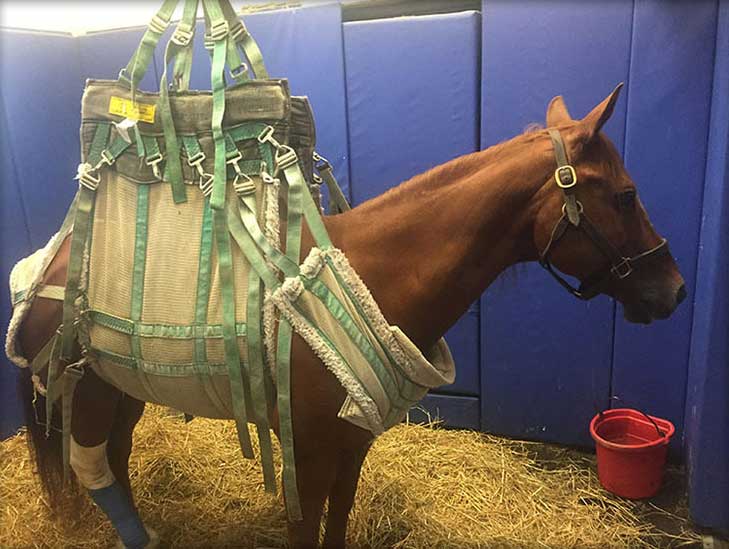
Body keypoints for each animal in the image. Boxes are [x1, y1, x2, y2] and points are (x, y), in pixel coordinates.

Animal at [12, 83, 684, 544]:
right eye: (625, 195)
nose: (674, 291)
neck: (375, 278)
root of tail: (52, 260)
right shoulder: (306, 454)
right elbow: (309, 530)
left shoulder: (350, 445)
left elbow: (338, 522)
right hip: (88, 388)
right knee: (92, 466)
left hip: (124, 389)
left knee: (115, 458)